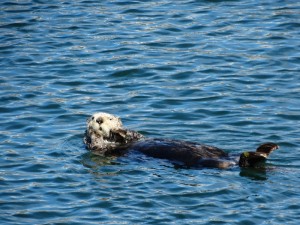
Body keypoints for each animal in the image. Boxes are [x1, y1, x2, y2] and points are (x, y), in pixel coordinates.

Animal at [84, 112, 278, 169]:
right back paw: (261, 153)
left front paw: (120, 131)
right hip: (208, 162)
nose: (98, 120)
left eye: (109, 118)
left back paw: (265, 149)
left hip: (220, 152)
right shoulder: (100, 149)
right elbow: (94, 143)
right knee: (241, 162)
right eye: (93, 118)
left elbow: (133, 134)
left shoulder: (135, 136)